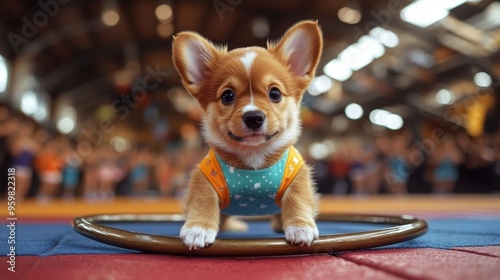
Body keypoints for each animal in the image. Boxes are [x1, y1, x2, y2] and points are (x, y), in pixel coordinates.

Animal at [171, 20, 320, 250]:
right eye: (227, 96)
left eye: (275, 93)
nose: (253, 117)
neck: (254, 155)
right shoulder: (203, 175)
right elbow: (203, 198)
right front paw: (198, 228)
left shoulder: (299, 174)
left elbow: (298, 196)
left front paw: (300, 226)